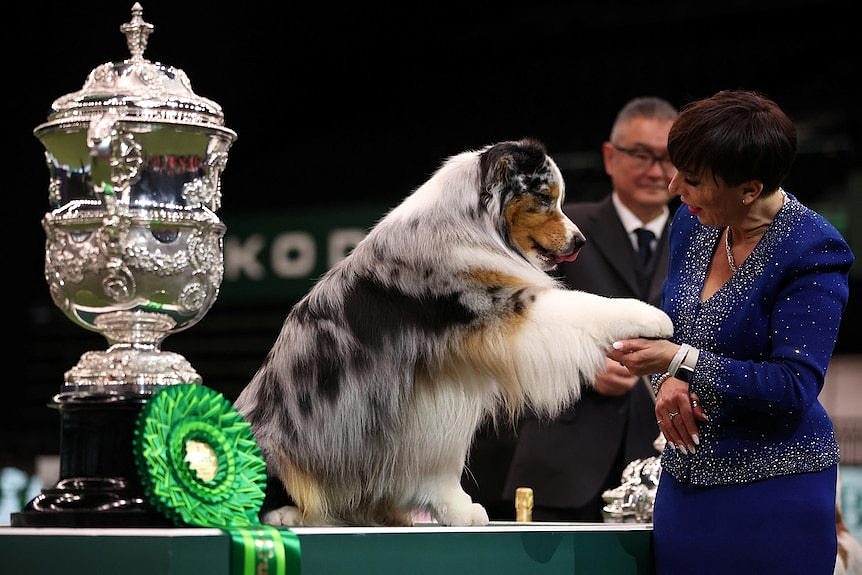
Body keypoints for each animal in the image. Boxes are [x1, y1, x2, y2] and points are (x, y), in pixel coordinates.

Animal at [236, 136, 676, 528]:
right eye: (546, 198)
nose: (581, 241)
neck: (471, 226)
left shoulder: (441, 387)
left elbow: (441, 461)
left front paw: (456, 509)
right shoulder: (499, 306)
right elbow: (586, 304)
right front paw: (648, 314)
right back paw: (288, 512)